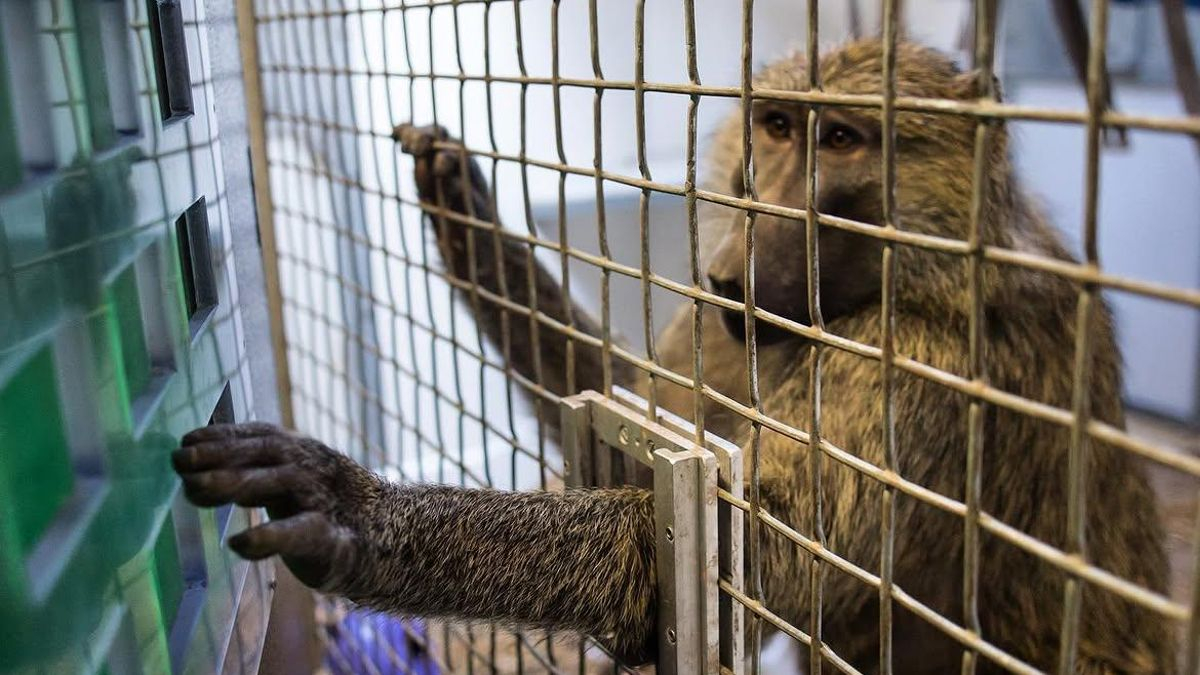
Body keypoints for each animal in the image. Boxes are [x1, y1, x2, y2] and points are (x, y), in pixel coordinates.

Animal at [174, 40, 1177, 673]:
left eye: (841, 139)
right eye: (776, 127)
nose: (733, 268)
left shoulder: (918, 359)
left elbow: (748, 548)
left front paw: (355, 512)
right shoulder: (726, 333)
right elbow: (628, 397)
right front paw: (463, 209)